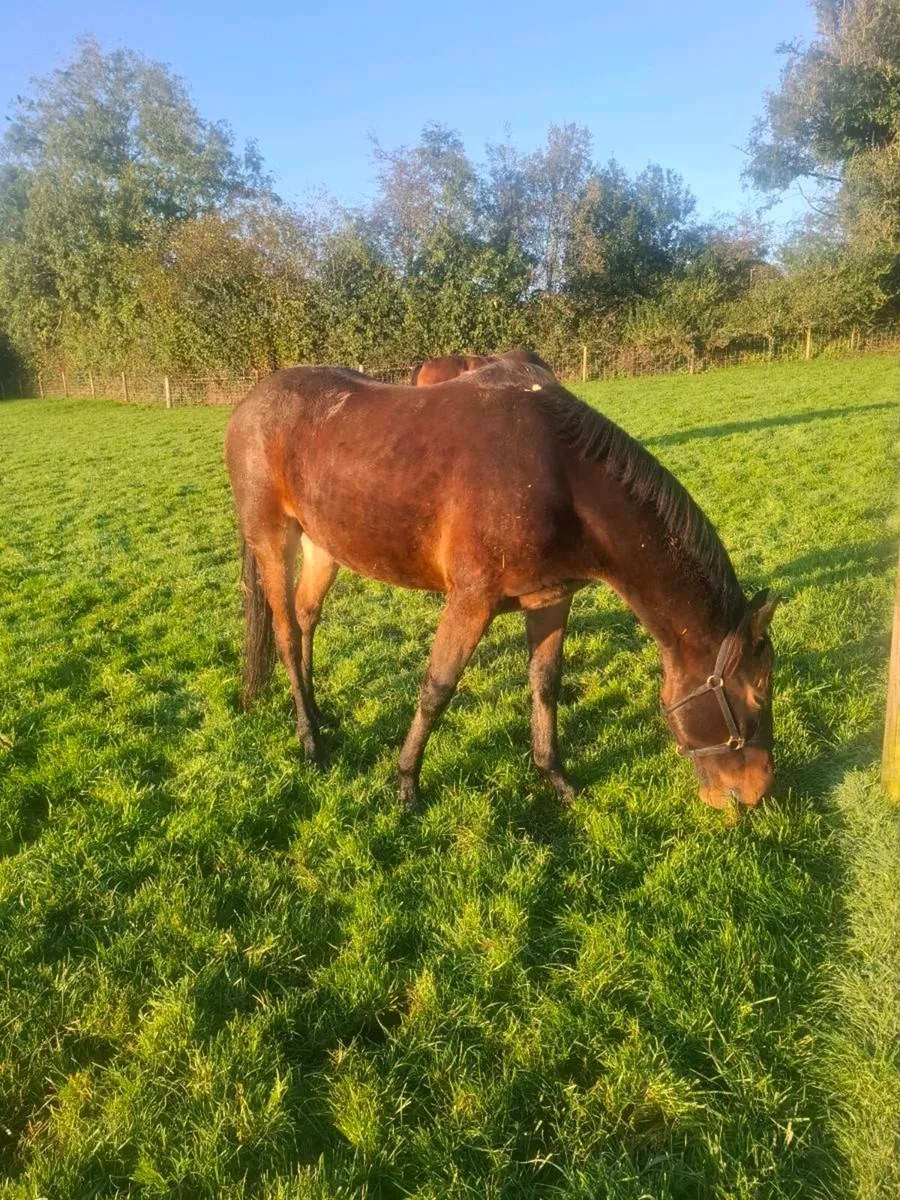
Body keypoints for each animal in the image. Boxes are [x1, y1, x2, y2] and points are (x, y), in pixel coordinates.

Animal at [224, 355, 777, 811]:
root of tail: (248, 403)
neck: (562, 482)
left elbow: (546, 683)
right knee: (286, 634)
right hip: (274, 540)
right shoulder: (471, 601)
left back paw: (317, 713)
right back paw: (310, 740)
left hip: (324, 545)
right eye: (757, 694)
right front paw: (406, 783)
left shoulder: (551, 600)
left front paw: (554, 776)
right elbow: (437, 689)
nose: (758, 791)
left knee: (306, 617)